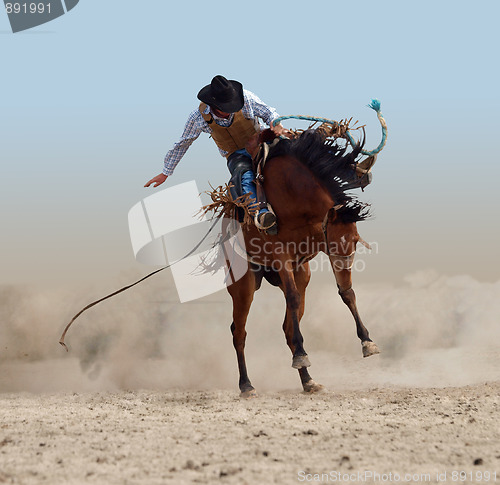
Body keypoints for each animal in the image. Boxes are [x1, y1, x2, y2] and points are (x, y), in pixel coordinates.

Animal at [225, 130, 376, 398]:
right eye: (335, 242)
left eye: (354, 243)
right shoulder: (281, 255)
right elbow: (293, 297)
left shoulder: (319, 248)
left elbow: (346, 292)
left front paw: (367, 342)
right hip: (243, 287)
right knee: (239, 332)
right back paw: (247, 385)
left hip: (301, 274)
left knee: (288, 329)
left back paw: (308, 380)